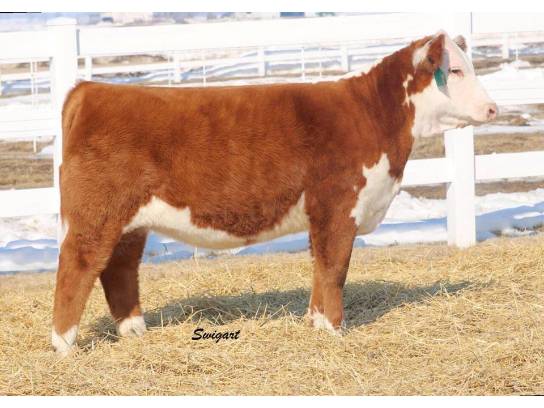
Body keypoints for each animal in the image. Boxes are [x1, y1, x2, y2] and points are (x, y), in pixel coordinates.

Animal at [52, 31, 497, 354]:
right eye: (456, 70)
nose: (493, 109)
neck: (374, 117)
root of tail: (91, 90)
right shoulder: (339, 206)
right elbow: (335, 268)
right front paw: (335, 331)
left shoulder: (323, 215)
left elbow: (321, 266)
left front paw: (315, 324)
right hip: (96, 213)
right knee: (77, 266)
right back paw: (64, 346)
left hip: (130, 222)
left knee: (118, 269)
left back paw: (135, 333)